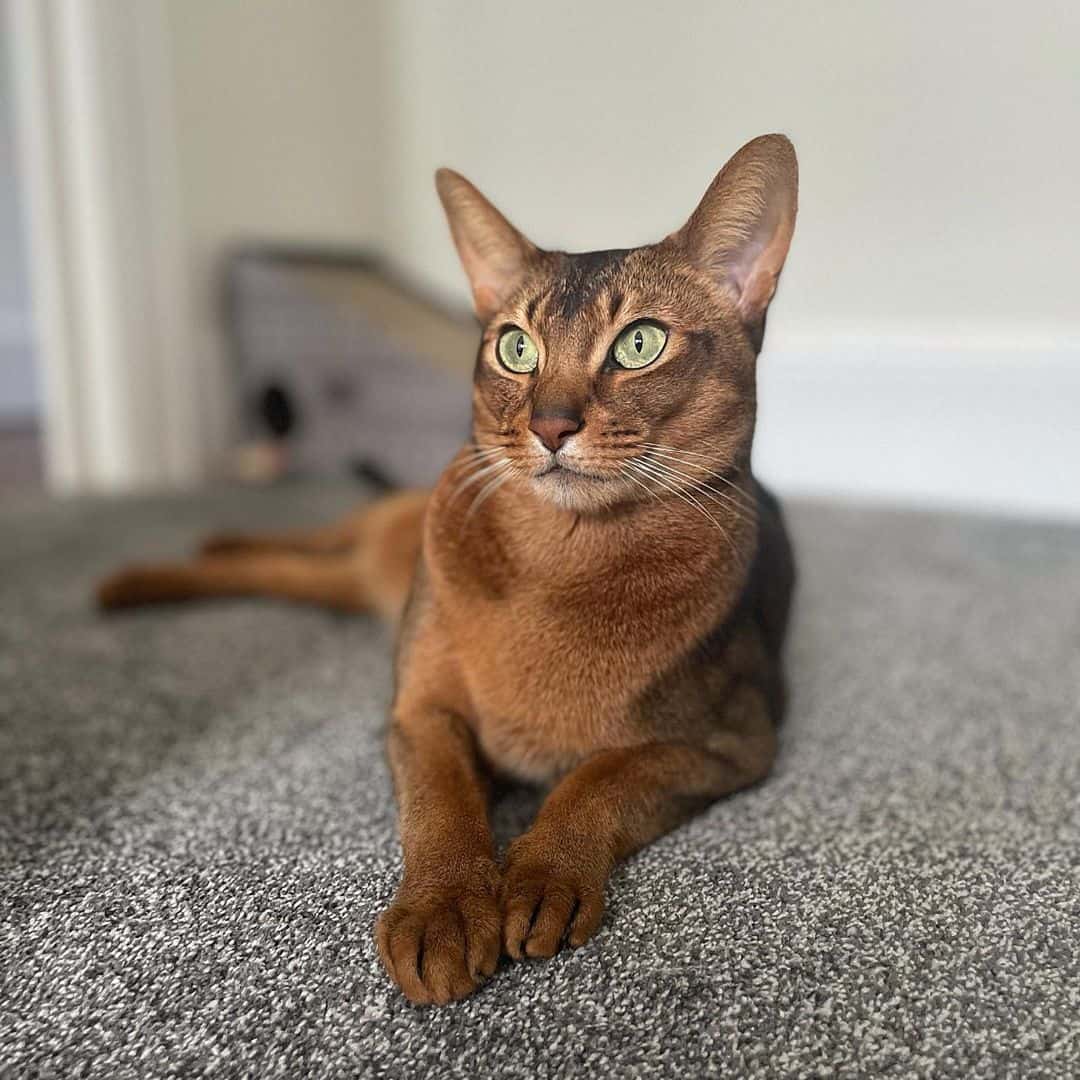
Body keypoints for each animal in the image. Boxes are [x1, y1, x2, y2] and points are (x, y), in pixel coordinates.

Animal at [97, 132, 799, 1002]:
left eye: (640, 343)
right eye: (515, 347)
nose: (551, 425)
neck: (559, 561)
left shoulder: (732, 743)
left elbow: (598, 779)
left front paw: (541, 877)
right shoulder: (419, 710)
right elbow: (440, 800)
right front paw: (443, 909)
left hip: (363, 584)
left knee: (296, 573)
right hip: (387, 546)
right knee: (304, 541)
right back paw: (167, 561)